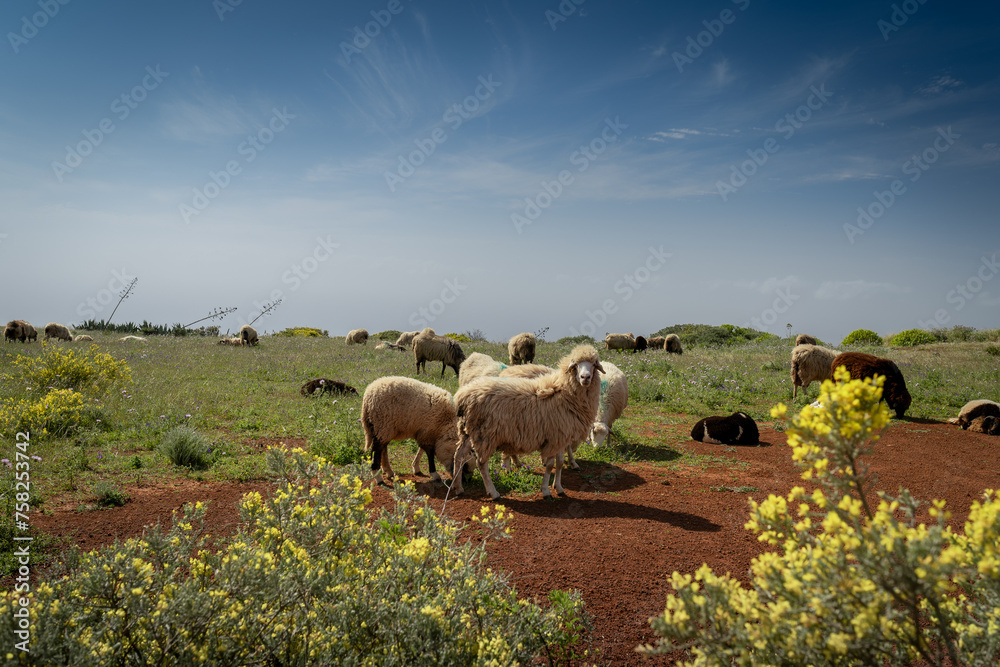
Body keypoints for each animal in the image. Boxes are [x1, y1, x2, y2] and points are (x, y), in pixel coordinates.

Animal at [451, 344, 604, 500]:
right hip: (485, 435)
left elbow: (560, 463)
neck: (565, 394)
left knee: (459, 455)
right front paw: (546, 491)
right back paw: (493, 492)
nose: (585, 377)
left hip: (469, 431)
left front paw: (559, 488)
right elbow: (550, 465)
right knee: (481, 463)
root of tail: (462, 395)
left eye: (594, 364)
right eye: (575, 365)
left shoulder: (561, 437)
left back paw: (458, 488)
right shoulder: (553, 438)